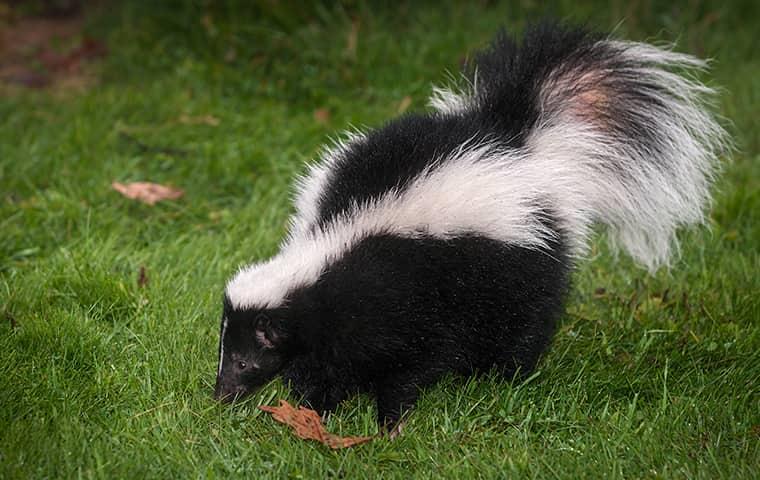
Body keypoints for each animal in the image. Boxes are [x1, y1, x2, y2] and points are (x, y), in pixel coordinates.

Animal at [212, 22, 724, 430]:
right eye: (226, 353)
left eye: (243, 360)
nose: (220, 395)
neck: (330, 253)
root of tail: (515, 141)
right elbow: (325, 363)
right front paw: (315, 408)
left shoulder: (406, 299)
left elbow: (410, 365)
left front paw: (391, 420)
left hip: (520, 264)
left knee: (524, 325)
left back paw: (504, 379)